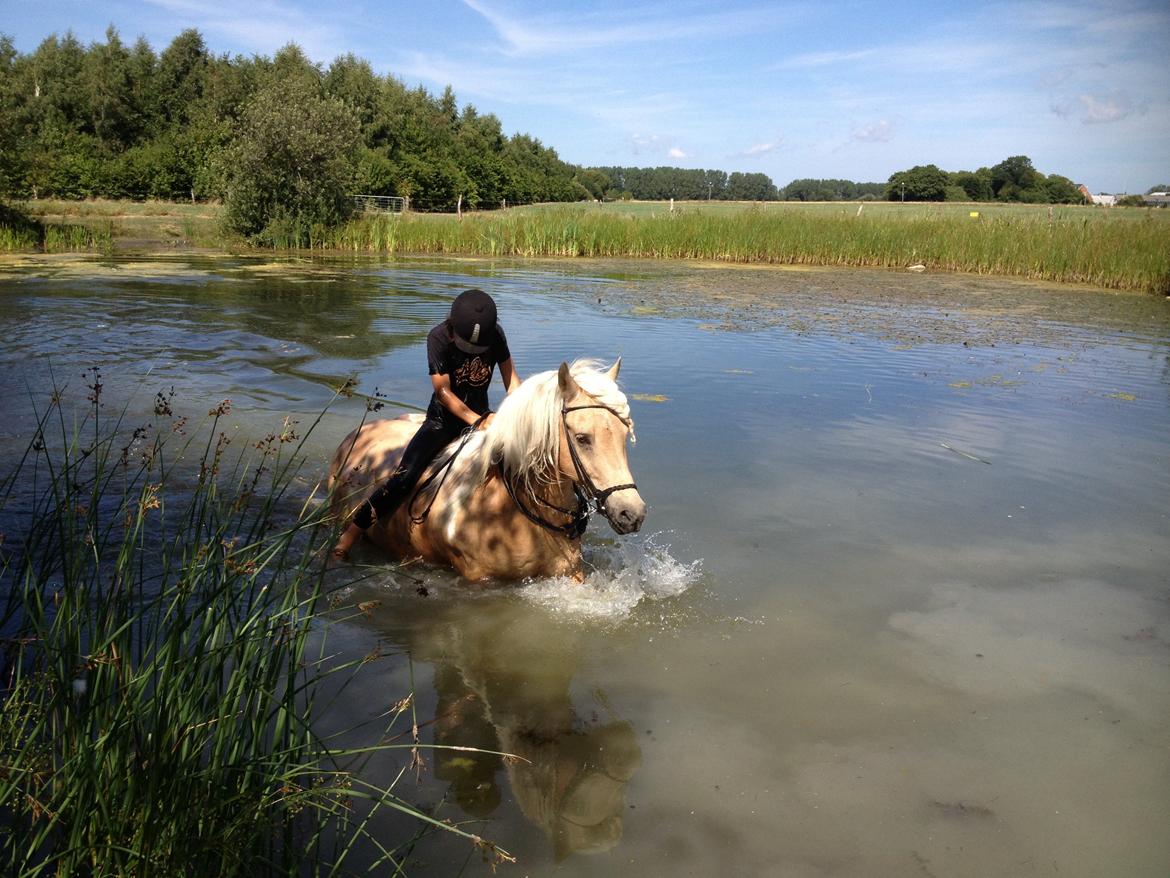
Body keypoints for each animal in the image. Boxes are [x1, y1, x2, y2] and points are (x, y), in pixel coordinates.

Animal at [325, 358, 645, 585]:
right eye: (582, 438)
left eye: (623, 435)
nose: (632, 514)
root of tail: (358, 432)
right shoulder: (479, 578)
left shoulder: (569, 572)